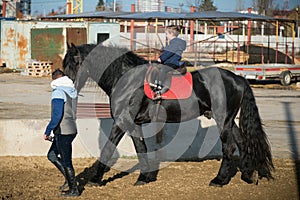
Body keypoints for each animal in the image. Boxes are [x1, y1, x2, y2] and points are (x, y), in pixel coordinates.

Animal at [63, 43, 274, 187]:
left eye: (73, 64)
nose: (66, 89)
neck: (127, 79)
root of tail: (238, 78)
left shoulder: (122, 121)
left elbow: (107, 148)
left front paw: (95, 179)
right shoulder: (134, 124)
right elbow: (141, 148)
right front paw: (145, 177)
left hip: (223, 120)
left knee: (229, 147)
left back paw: (219, 179)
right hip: (230, 121)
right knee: (243, 143)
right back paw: (248, 175)